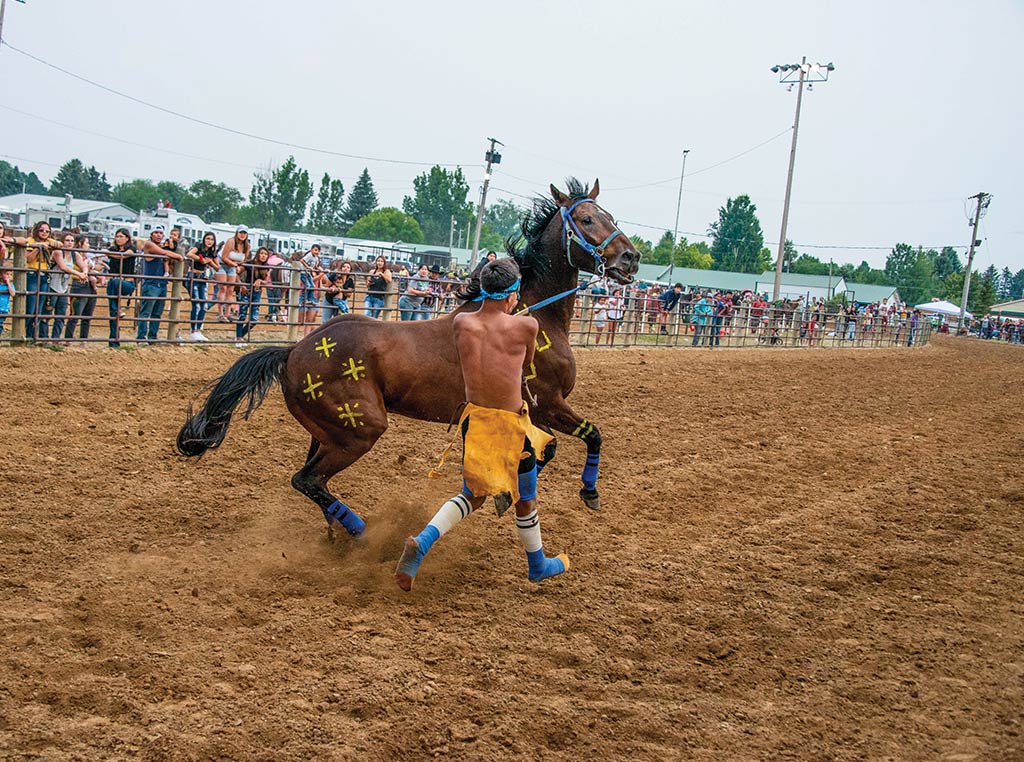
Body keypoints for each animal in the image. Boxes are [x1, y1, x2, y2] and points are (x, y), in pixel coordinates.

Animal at [180, 178, 634, 536]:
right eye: (587, 219)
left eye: (609, 214)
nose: (630, 258)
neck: (530, 312)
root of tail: (293, 351)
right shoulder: (548, 403)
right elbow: (585, 438)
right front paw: (586, 492)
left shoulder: (527, 412)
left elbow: (542, 452)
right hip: (359, 431)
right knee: (307, 479)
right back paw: (359, 531)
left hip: (326, 433)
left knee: (312, 482)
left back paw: (337, 533)